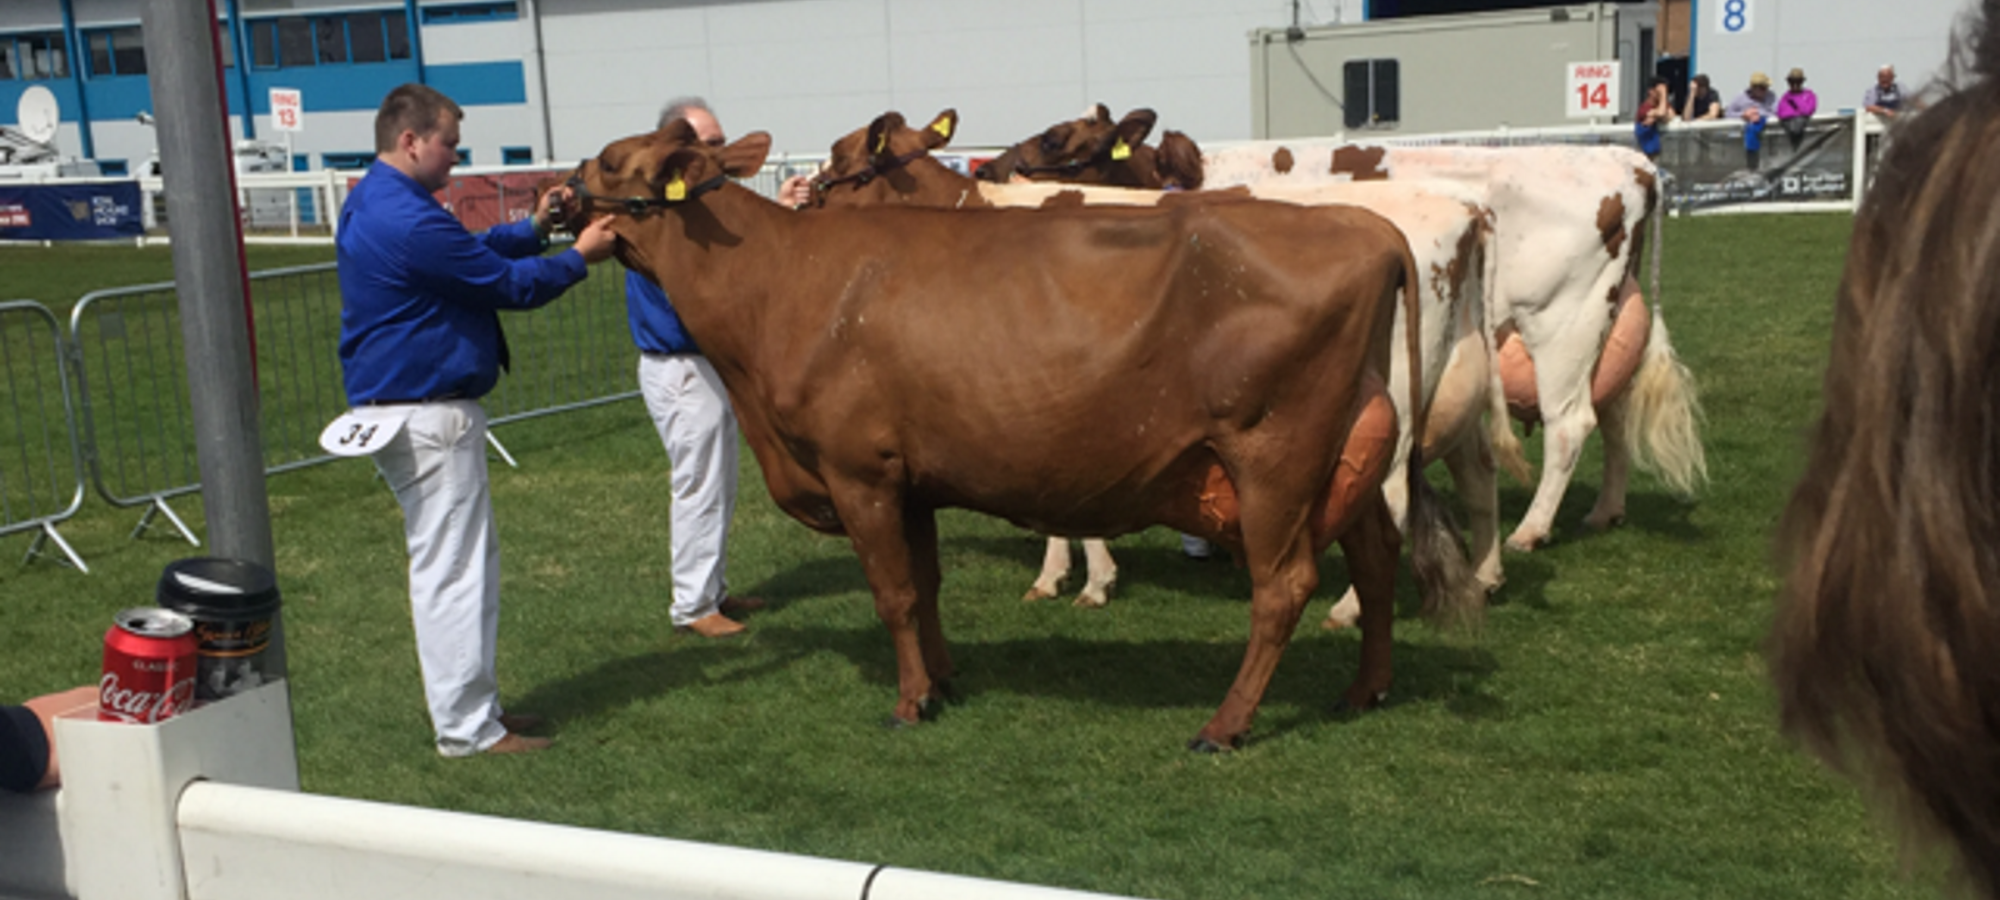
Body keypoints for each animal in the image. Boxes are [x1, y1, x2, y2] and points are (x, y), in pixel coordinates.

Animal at [812, 109, 1523, 631]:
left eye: (836, 163)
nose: (804, 196)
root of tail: (1464, 210)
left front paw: (1090, 580)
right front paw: (1060, 575)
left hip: (1391, 396)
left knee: (1395, 496)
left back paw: (1349, 609)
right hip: (1455, 381)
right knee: (1478, 468)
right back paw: (1488, 575)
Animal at [983, 107, 1707, 553]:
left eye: (1057, 140)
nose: (986, 168)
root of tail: (1629, 163)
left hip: (1562, 320)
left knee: (1571, 423)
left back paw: (1531, 530)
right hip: (1607, 317)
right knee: (1615, 409)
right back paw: (1604, 510)